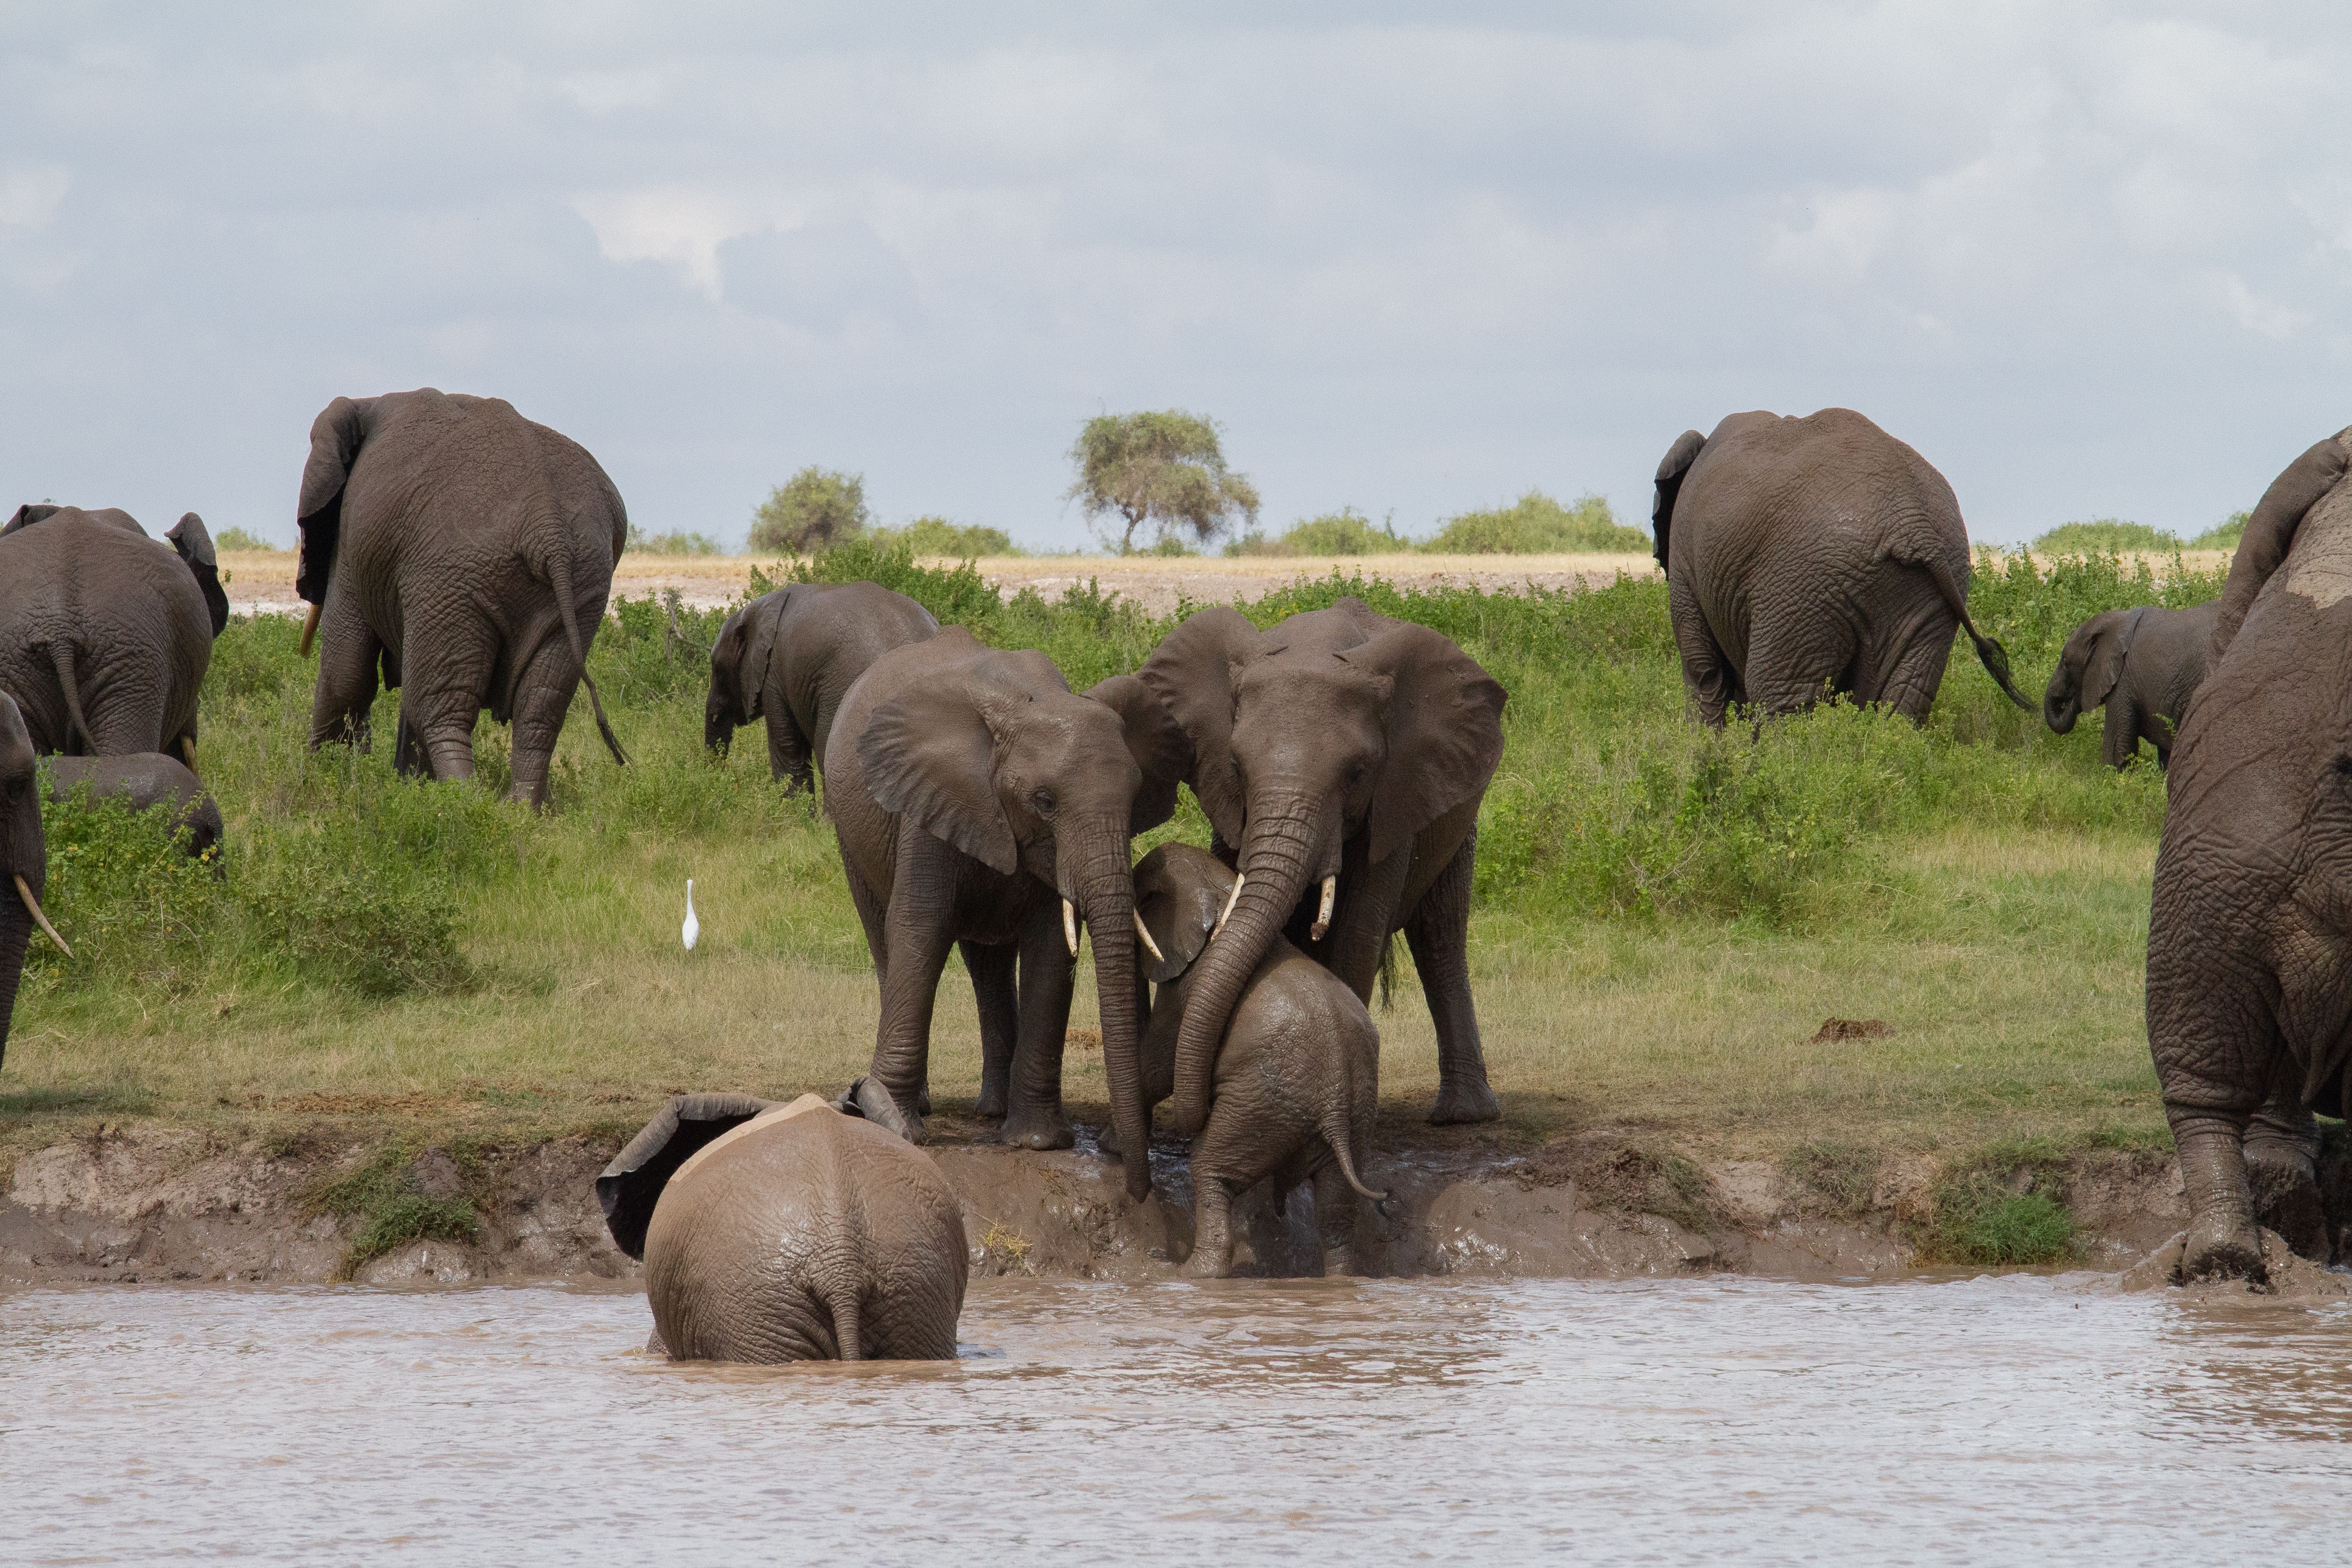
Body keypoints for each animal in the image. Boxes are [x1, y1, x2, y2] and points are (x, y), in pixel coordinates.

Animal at [294, 389, 630, 807]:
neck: (364, 402)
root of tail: (547, 524)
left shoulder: (352, 543)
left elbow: (347, 671)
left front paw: (321, 778)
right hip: (584, 581)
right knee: (539, 709)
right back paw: (518, 811)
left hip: (451, 577)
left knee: (437, 708)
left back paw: (463, 805)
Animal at [824, 625, 1186, 1178]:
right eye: (1045, 802)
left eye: (1135, 798)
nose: (1136, 1183)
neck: (1027, 703)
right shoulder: (932, 800)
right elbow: (920, 930)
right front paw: (900, 1129)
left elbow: (1051, 951)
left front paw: (1037, 1143)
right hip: (851, 833)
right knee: (884, 934)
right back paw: (919, 1102)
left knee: (987, 963)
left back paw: (994, 1111)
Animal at [1133, 843, 1388, 1278]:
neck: (1218, 886)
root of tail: (1335, 1104)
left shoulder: (1184, 990)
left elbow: (1159, 1066)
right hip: (1355, 1115)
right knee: (1336, 1205)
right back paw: (1340, 1280)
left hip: (1260, 1106)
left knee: (1210, 1168)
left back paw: (1189, 1274)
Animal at [1135, 597, 1506, 1139]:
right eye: (1237, 767)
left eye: (1357, 774)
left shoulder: (1395, 795)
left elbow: (1356, 935)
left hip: (1458, 815)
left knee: (1439, 935)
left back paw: (1463, 1117)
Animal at [1650, 409, 2031, 724]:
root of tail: (1912, 522)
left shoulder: (1686, 559)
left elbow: (1703, 672)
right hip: (1936, 591)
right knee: (1902, 702)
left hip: (1801, 590)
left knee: (1780, 697)